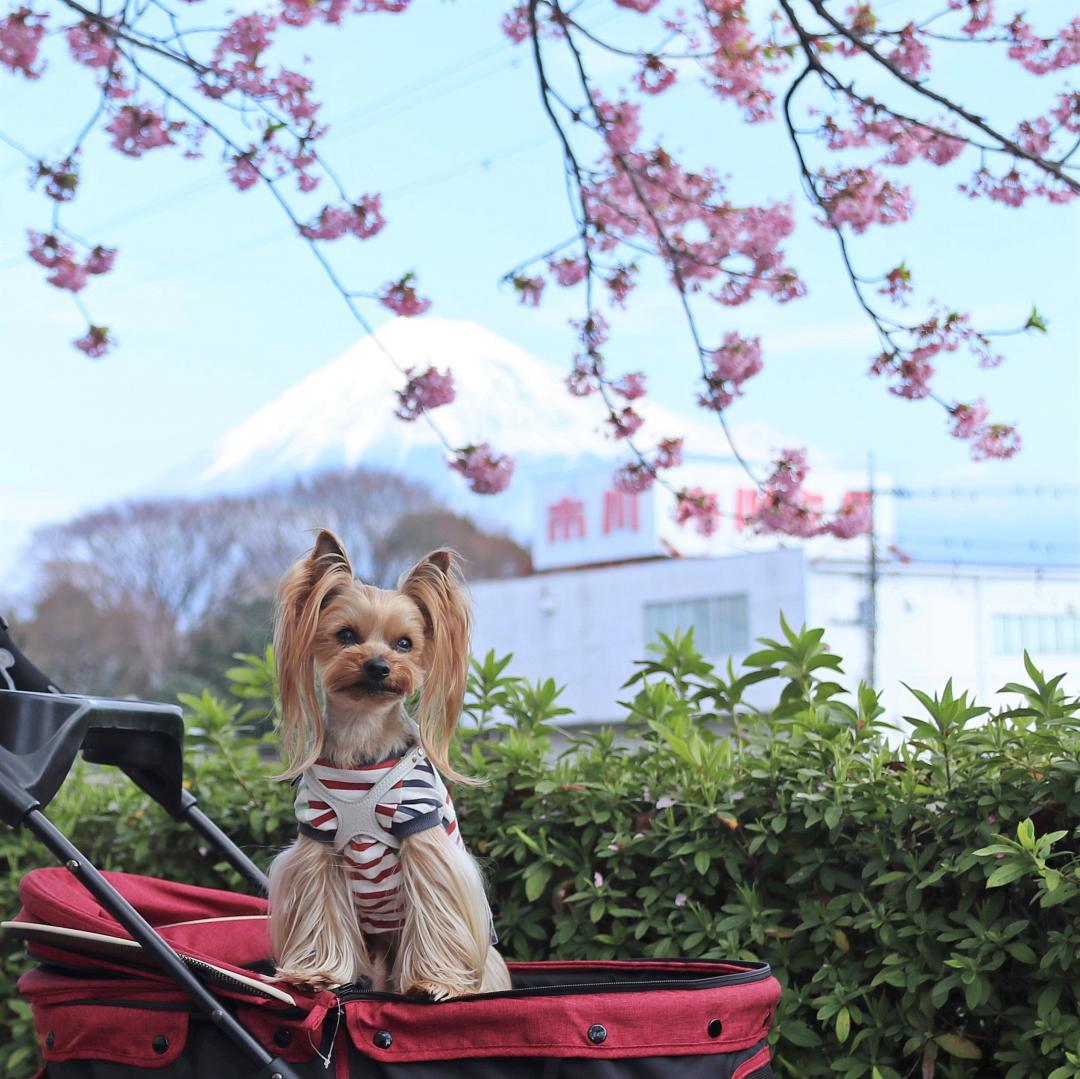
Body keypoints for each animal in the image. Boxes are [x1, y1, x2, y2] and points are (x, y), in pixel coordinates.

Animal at [267, 535, 507, 997]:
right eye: (345, 635)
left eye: (404, 644)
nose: (378, 666)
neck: (363, 738)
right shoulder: (318, 839)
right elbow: (320, 906)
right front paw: (316, 974)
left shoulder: (421, 829)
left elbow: (435, 903)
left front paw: (433, 982)